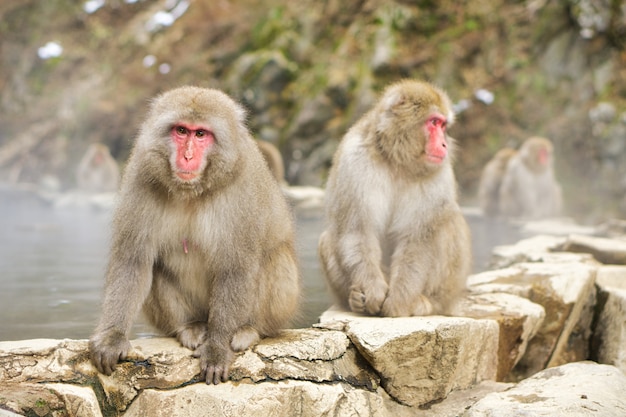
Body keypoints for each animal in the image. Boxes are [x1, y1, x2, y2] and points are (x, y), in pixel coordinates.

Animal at [88, 85, 300, 384]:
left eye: (201, 134)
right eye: (181, 131)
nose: (187, 156)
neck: (193, 191)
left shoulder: (242, 190)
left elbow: (235, 269)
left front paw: (217, 348)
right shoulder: (141, 174)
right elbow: (133, 260)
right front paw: (112, 336)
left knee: (274, 260)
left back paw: (248, 329)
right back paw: (190, 326)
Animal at [320, 79, 470, 316]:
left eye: (443, 126)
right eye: (434, 122)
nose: (444, 144)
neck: (398, 162)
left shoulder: (440, 176)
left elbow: (417, 241)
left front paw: (399, 301)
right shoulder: (353, 160)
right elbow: (357, 231)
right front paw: (372, 290)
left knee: (445, 224)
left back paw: (426, 303)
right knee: (329, 237)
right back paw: (355, 299)